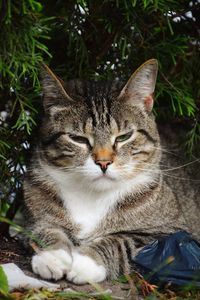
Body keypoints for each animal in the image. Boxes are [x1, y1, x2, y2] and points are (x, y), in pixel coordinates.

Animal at [22, 59, 199, 284]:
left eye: (124, 136)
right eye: (77, 138)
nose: (104, 162)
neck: (92, 195)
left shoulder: (170, 233)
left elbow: (120, 240)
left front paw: (86, 261)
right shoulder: (33, 213)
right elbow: (44, 228)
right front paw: (53, 256)